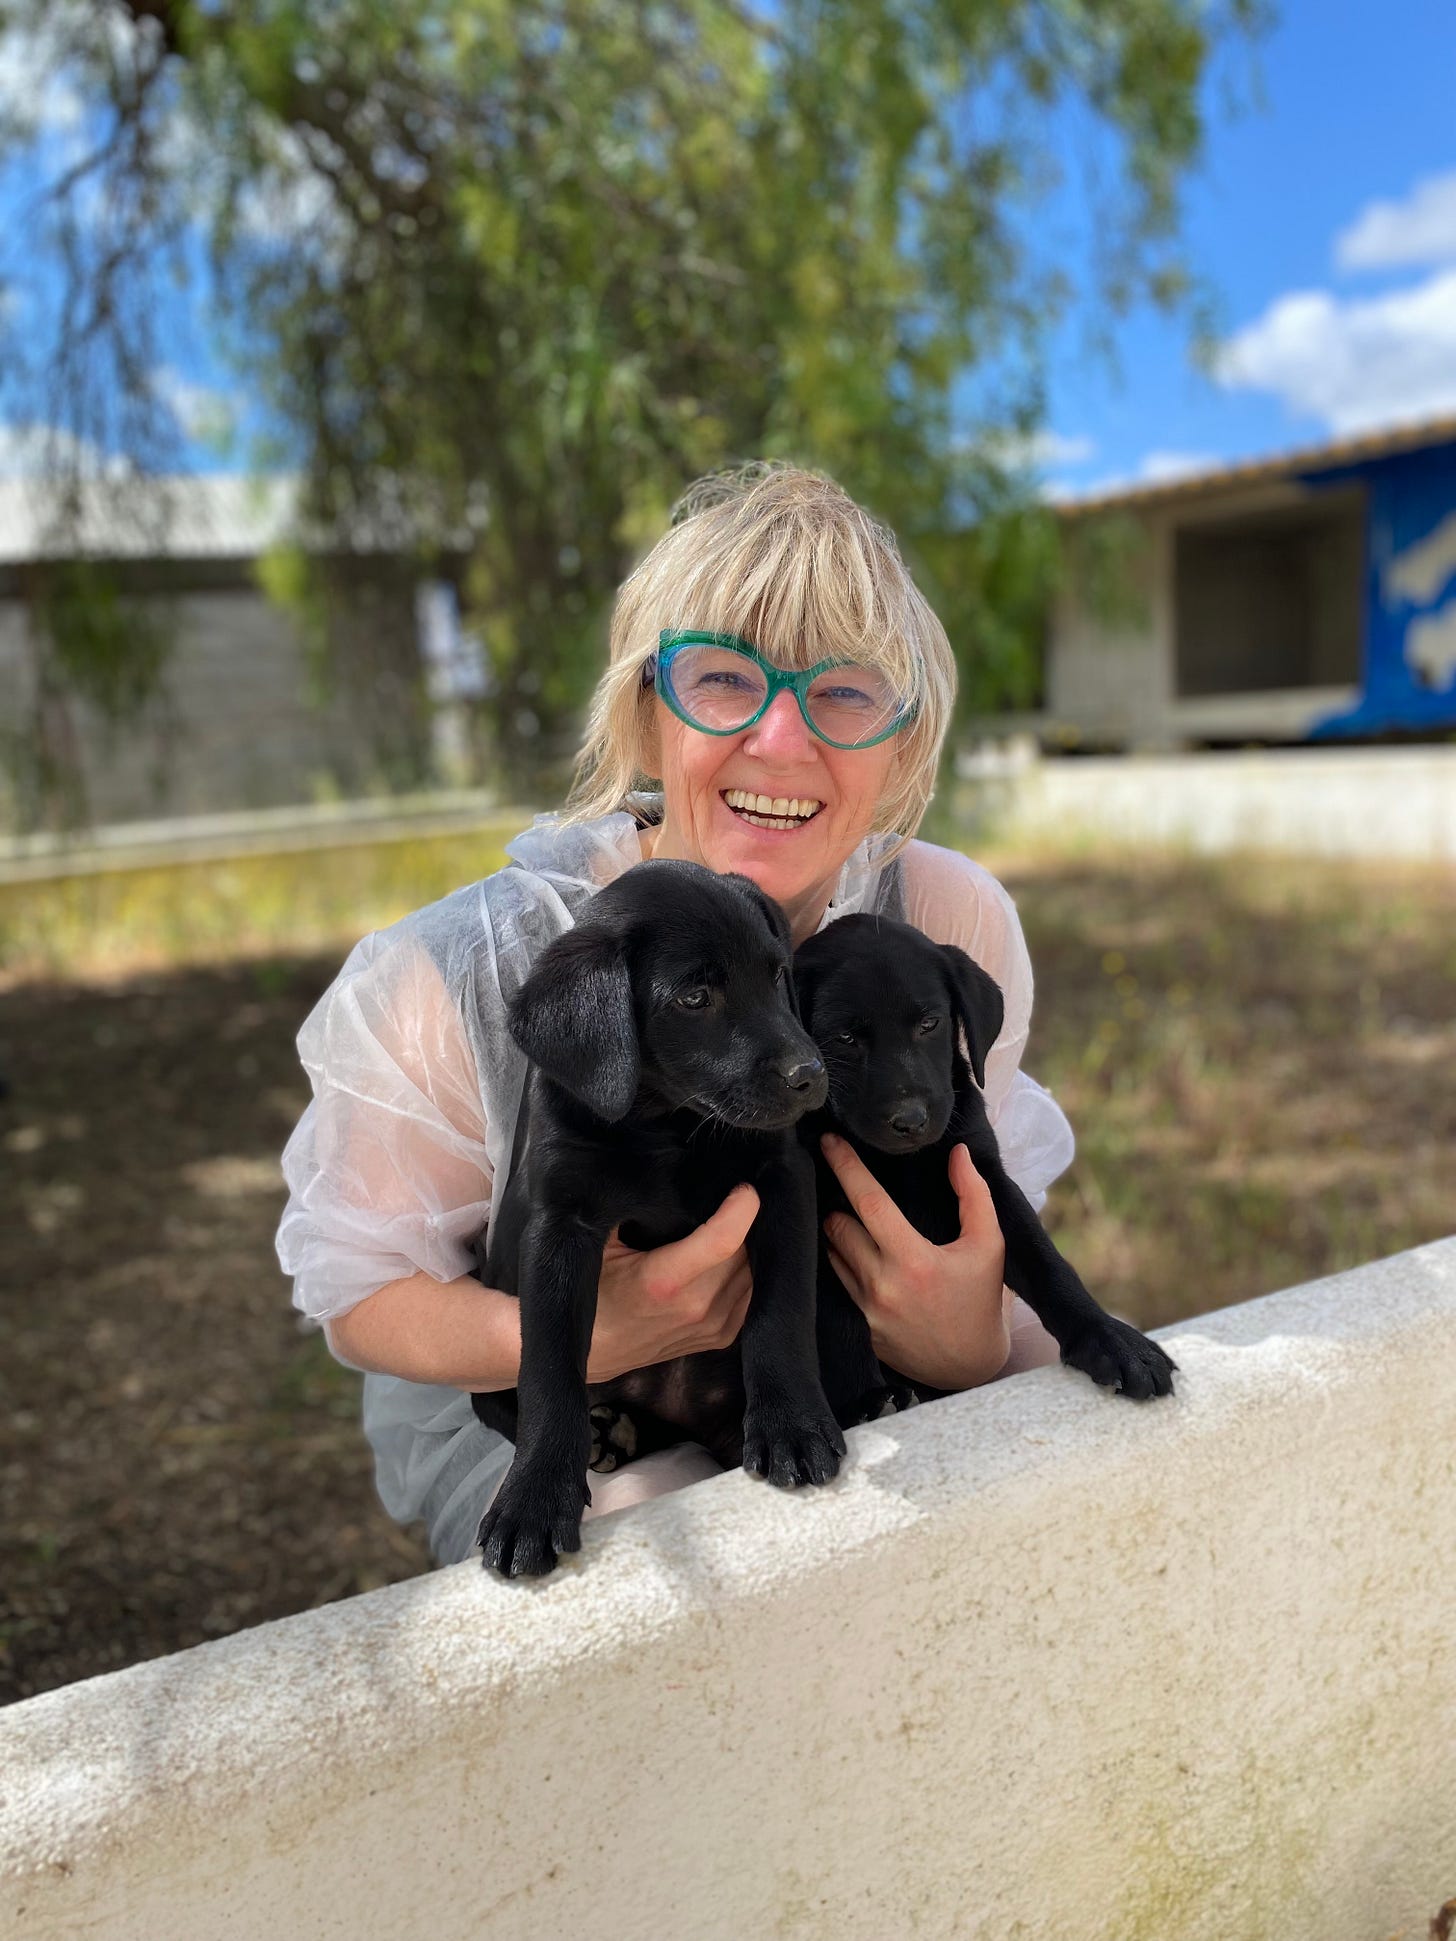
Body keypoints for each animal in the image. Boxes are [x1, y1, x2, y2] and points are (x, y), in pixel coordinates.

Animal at [473, 861, 850, 1576]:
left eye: (776, 974)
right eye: (695, 998)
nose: (811, 1076)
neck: (664, 1126)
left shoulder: (781, 1180)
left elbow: (781, 1312)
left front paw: (791, 1424)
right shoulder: (560, 1226)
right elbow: (550, 1369)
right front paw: (533, 1499)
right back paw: (606, 1435)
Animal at [799, 908, 1172, 1428]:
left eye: (929, 1023)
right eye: (846, 1038)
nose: (910, 1121)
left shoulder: (987, 1179)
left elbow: (1047, 1262)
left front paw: (1113, 1341)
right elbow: (836, 1314)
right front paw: (868, 1401)